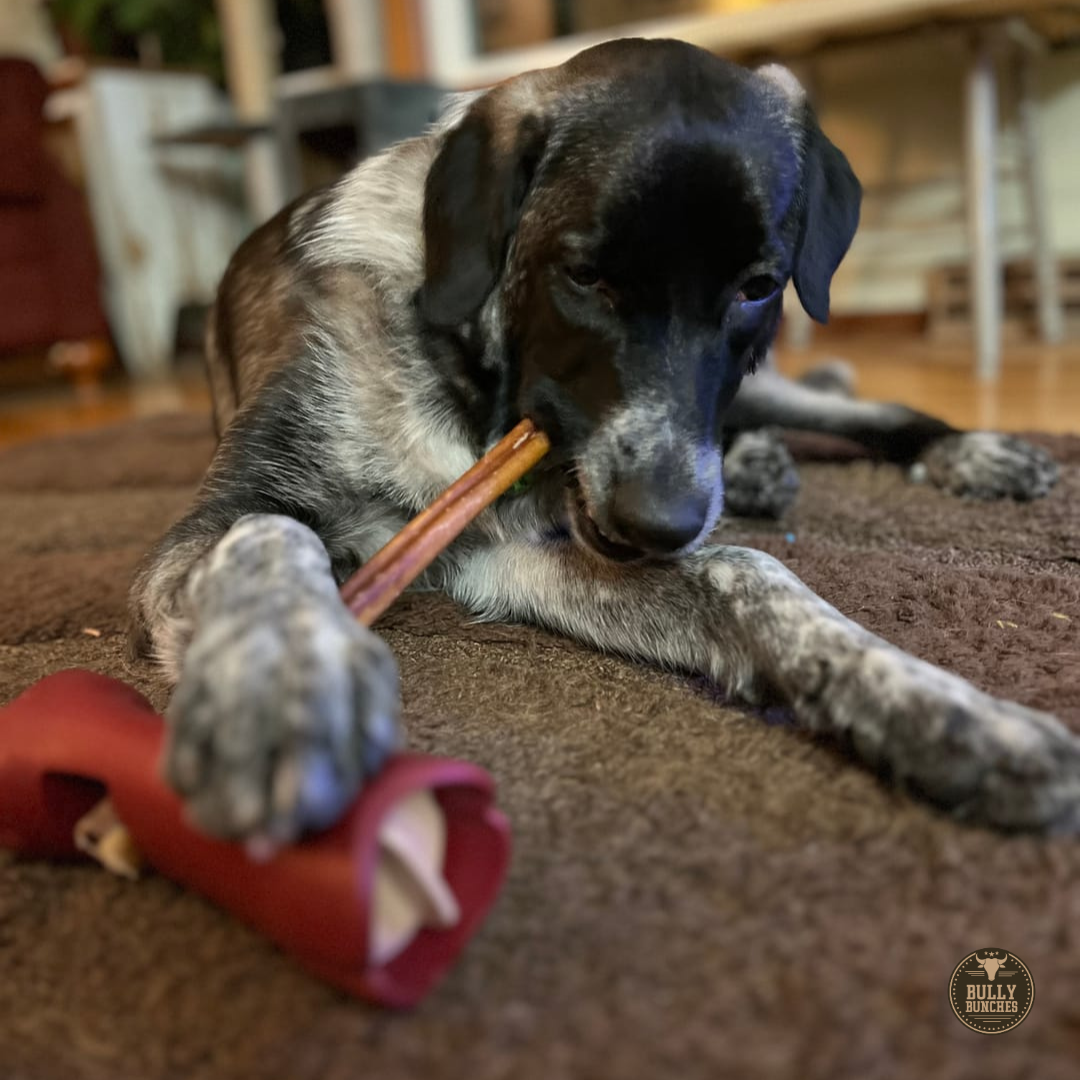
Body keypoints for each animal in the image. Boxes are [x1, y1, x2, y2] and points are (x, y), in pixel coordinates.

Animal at [130, 39, 1075, 851]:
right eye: (584, 277)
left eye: (756, 288)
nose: (662, 523)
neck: (472, 382)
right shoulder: (247, 527)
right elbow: (273, 531)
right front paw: (283, 680)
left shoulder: (524, 545)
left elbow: (750, 571)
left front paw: (948, 711)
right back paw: (764, 466)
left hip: (753, 389)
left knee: (867, 411)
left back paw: (967, 451)